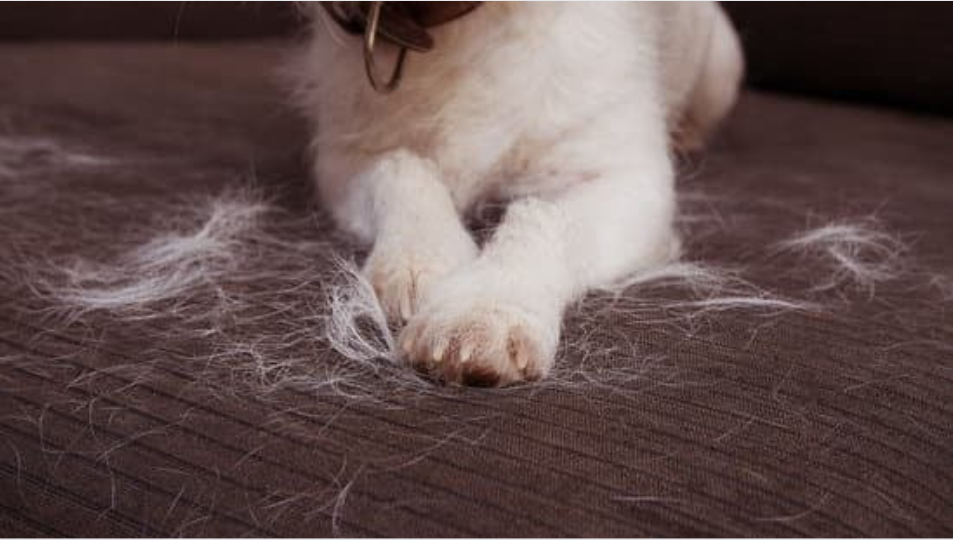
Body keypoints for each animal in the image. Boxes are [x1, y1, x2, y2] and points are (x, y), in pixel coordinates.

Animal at [290, 2, 744, 386]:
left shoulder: (630, 180)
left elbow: (547, 217)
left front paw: (483, 309)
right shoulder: (344, 162)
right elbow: (402, 170)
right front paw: (419, 258)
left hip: (722, 63)